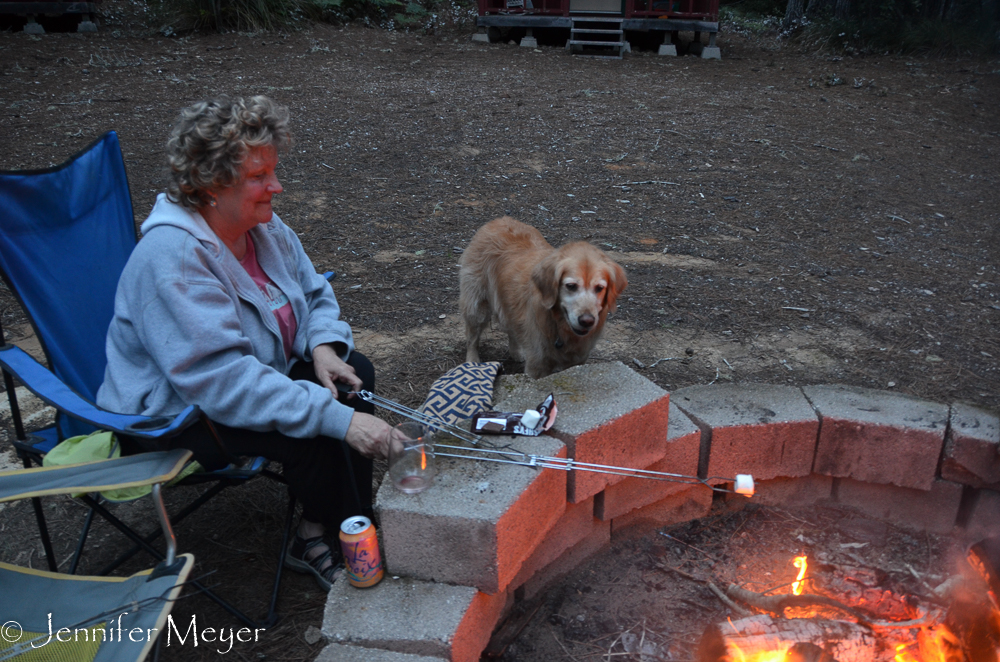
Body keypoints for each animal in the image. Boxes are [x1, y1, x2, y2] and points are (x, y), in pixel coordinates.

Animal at [458, 219, 624, 378]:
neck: (559, 324)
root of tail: (497, 220)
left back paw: (516, 352)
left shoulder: (578, 360)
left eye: (599, 288)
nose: (587, 321)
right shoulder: (537, 364)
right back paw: (472, 362)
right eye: (571, 286)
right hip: (477, 306)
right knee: (472, 338)